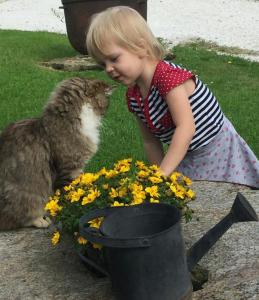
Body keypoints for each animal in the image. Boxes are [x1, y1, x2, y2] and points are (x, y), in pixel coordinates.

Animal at [0, 77, 110, 230]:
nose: (105, 114)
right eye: (106, 104)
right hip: (26, 195)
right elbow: (68, 197)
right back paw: (41, 220)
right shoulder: (68, 170)